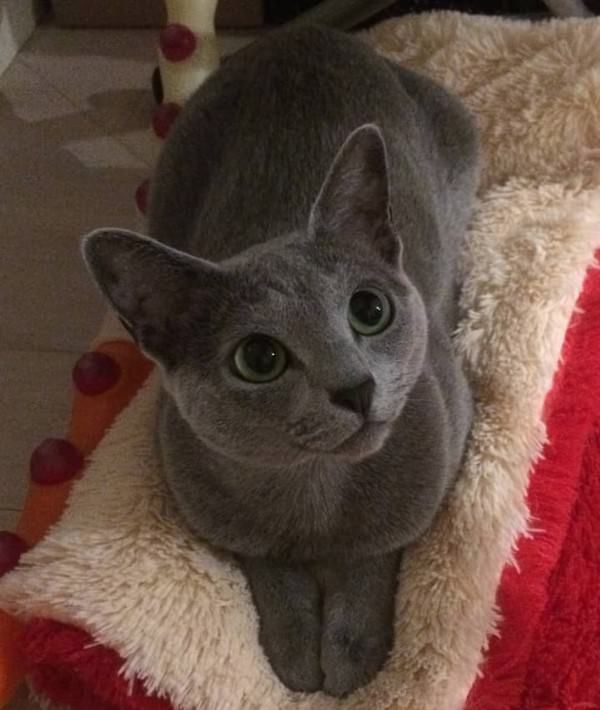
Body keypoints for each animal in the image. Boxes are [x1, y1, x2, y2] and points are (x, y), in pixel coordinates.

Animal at [83, 26, 478, 700]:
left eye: (369, 310)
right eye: (260, 358)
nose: (356, 387)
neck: (314, 495)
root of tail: (303, 31)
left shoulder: (440, 446)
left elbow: (375, 555)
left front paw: (351, 657)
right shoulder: (207, 501)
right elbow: (269, 567)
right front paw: (295, 655)